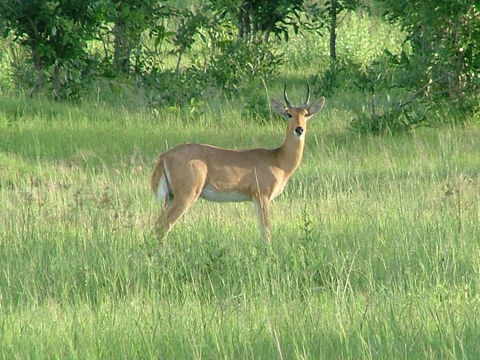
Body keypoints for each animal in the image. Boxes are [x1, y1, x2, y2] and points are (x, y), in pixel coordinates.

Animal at [153, 85, 326, 242]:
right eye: (289, 114)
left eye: (306, 114)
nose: (299, 129)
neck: (278, 160)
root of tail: (164, 156)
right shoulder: (262, 195)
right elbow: (267, 231)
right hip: (186, 195)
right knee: (163, 226)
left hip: (171, 197)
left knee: (157, 225)